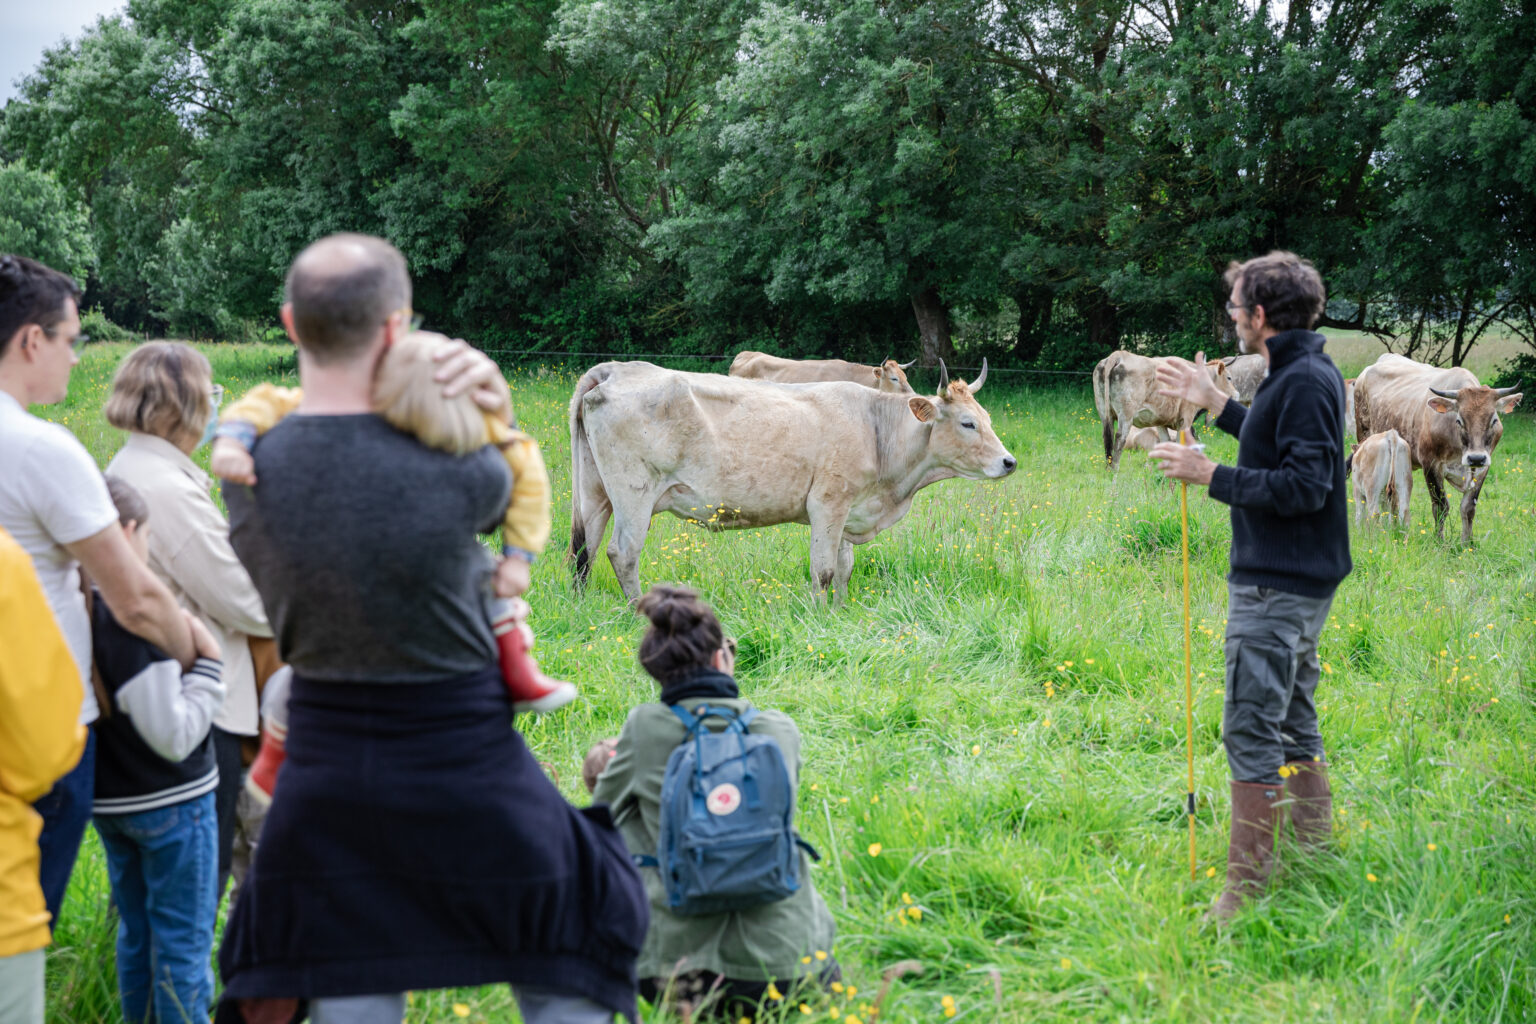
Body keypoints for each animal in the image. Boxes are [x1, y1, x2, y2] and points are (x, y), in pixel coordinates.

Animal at [571, 360, 1013, 601]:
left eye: (988, 418)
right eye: (968, 423)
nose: (1009, 462)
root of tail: (616, 369)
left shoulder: (848, 509)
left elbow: (845, 566)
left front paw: (840, 611)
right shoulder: (828, 504)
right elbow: (824, 570)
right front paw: (820, 616)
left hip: (595, 491)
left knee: (583, 549)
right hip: (634, 492)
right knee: (622, 552)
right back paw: (636, 611)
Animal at [1357, 353, 1523, 543]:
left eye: (1494, 420)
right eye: (1459, 420)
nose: (1476, 458)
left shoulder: (1483, 467)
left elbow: (1468, 507)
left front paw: (1467, 543)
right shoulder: (1431, 465)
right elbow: (1441, 505)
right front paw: (1439, 540)